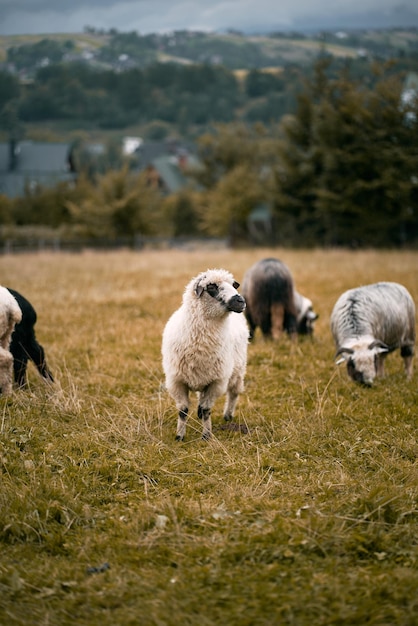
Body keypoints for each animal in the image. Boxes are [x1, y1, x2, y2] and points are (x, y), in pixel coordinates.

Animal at [162, 266, 248, 438]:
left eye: (233, 285)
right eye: (211, 287)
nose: (240, 301)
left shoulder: (216, 382)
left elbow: (206, 410)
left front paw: (207, 436)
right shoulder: (177, 381)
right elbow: (183, 411)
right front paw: (179, 436)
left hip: (237, 371)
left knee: (233, 393)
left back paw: (228, 415)